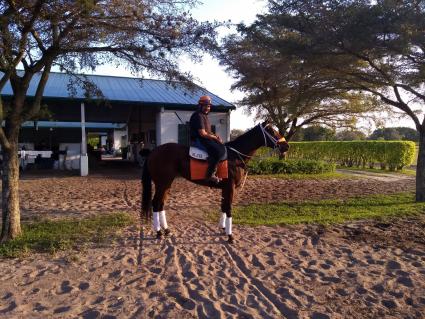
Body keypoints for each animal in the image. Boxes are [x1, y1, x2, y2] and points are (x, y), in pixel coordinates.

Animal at [142, 121, 288, 244]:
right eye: (271, 130)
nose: (286, 146)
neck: (234, 156)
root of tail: (153, 151)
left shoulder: (225, 188)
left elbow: (223, 207)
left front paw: (223, 229)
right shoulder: (230, 187)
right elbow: (228, 208)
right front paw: (230, 236)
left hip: (167, 184)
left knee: (161, 204)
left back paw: (166, 230)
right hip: (162, 183)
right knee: (155, 203)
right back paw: (159, 232)